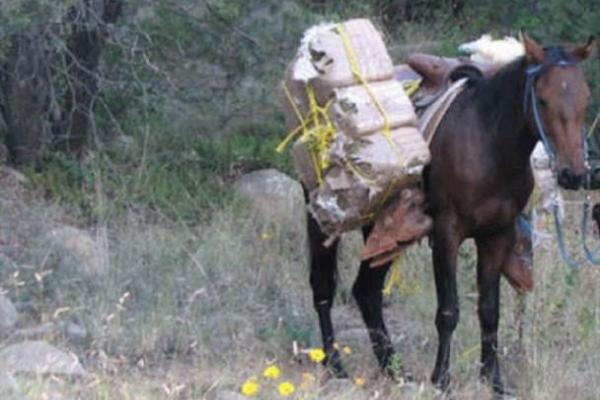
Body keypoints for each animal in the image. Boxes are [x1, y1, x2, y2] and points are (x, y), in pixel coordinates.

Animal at [310, 33, 596, 394]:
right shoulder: (447, 234)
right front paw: (441, 379)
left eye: (585, 98)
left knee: (366, 291)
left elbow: (489, 310)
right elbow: (448, 310)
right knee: (323, 286)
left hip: (382, 229)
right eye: (542, 100)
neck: (489, 145)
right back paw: (335, 365)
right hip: (323, 219)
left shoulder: (497, 236)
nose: (574, 175)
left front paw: (494, 381)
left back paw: (394, 370)